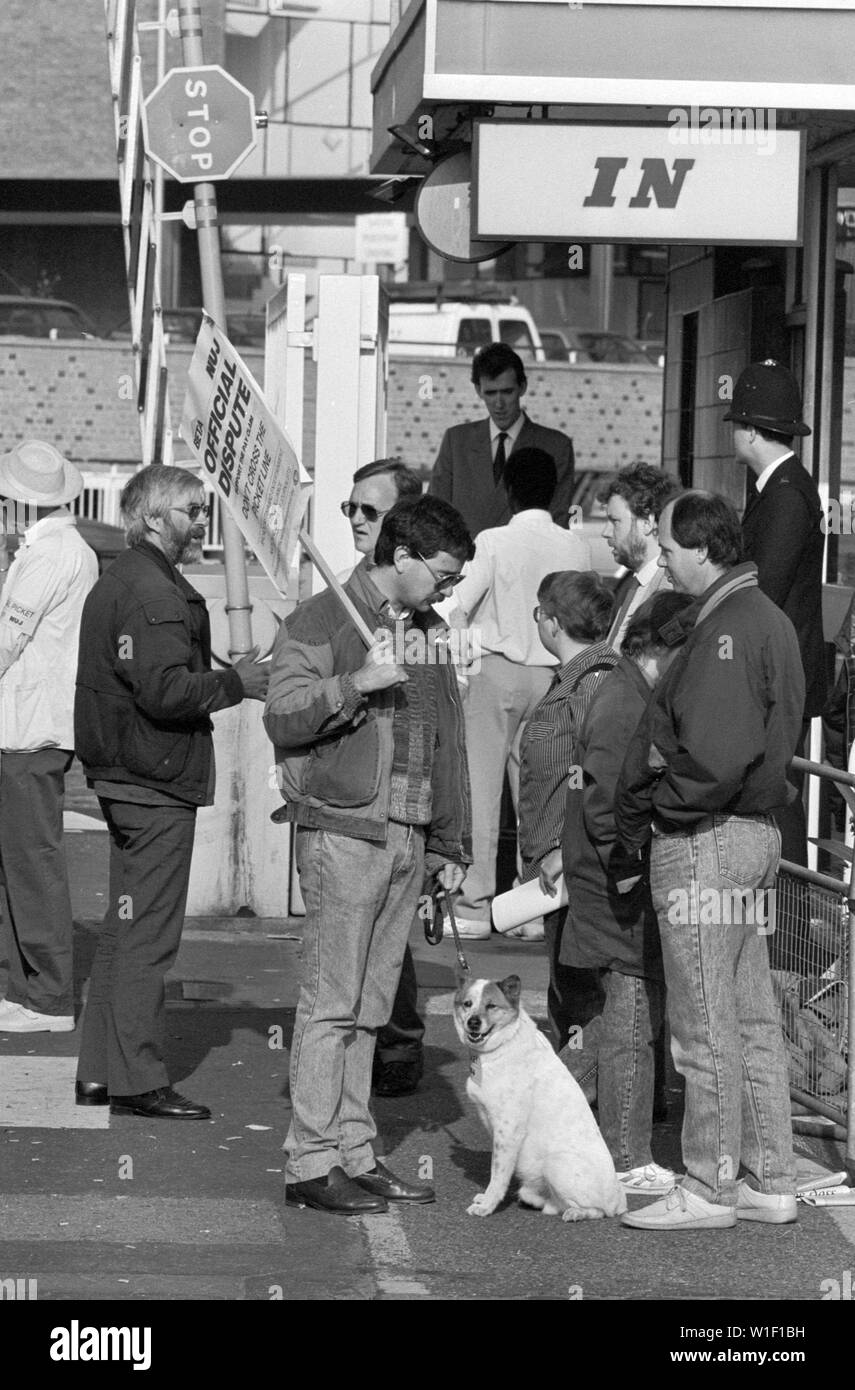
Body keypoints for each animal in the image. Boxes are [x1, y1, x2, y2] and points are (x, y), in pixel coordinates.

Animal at [450, 978, 625, 1217]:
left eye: (491, 1005)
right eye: (467, 1004)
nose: (473, 1022)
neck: (505, 1043)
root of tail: (619, 1200)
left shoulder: (508, 1131)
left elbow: (498, 1175)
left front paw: (487, 1206)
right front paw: (485, 1199)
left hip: (556, 1163)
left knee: (597, 1210)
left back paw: (576, 1213)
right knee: (552, 1203)